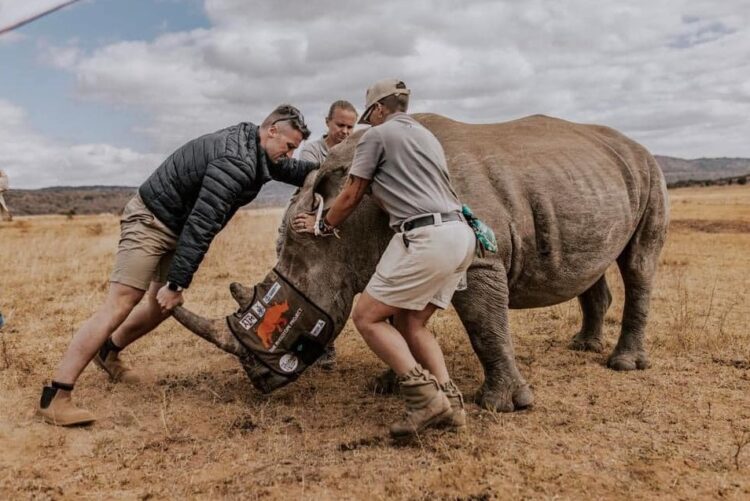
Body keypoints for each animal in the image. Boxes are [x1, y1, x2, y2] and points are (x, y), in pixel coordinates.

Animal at [175, 113, 668, 410]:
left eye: (283, 307)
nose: (259, 381)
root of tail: (638, 146)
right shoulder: (383, 258)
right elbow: (396, 321)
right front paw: (394, 384)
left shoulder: (478, 260)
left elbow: (485, 327)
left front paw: (501, 406)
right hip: (593, 179)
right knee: (593, 261)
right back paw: (583, 346)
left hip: (648, 170)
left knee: (638, 263)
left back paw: (622, 365)